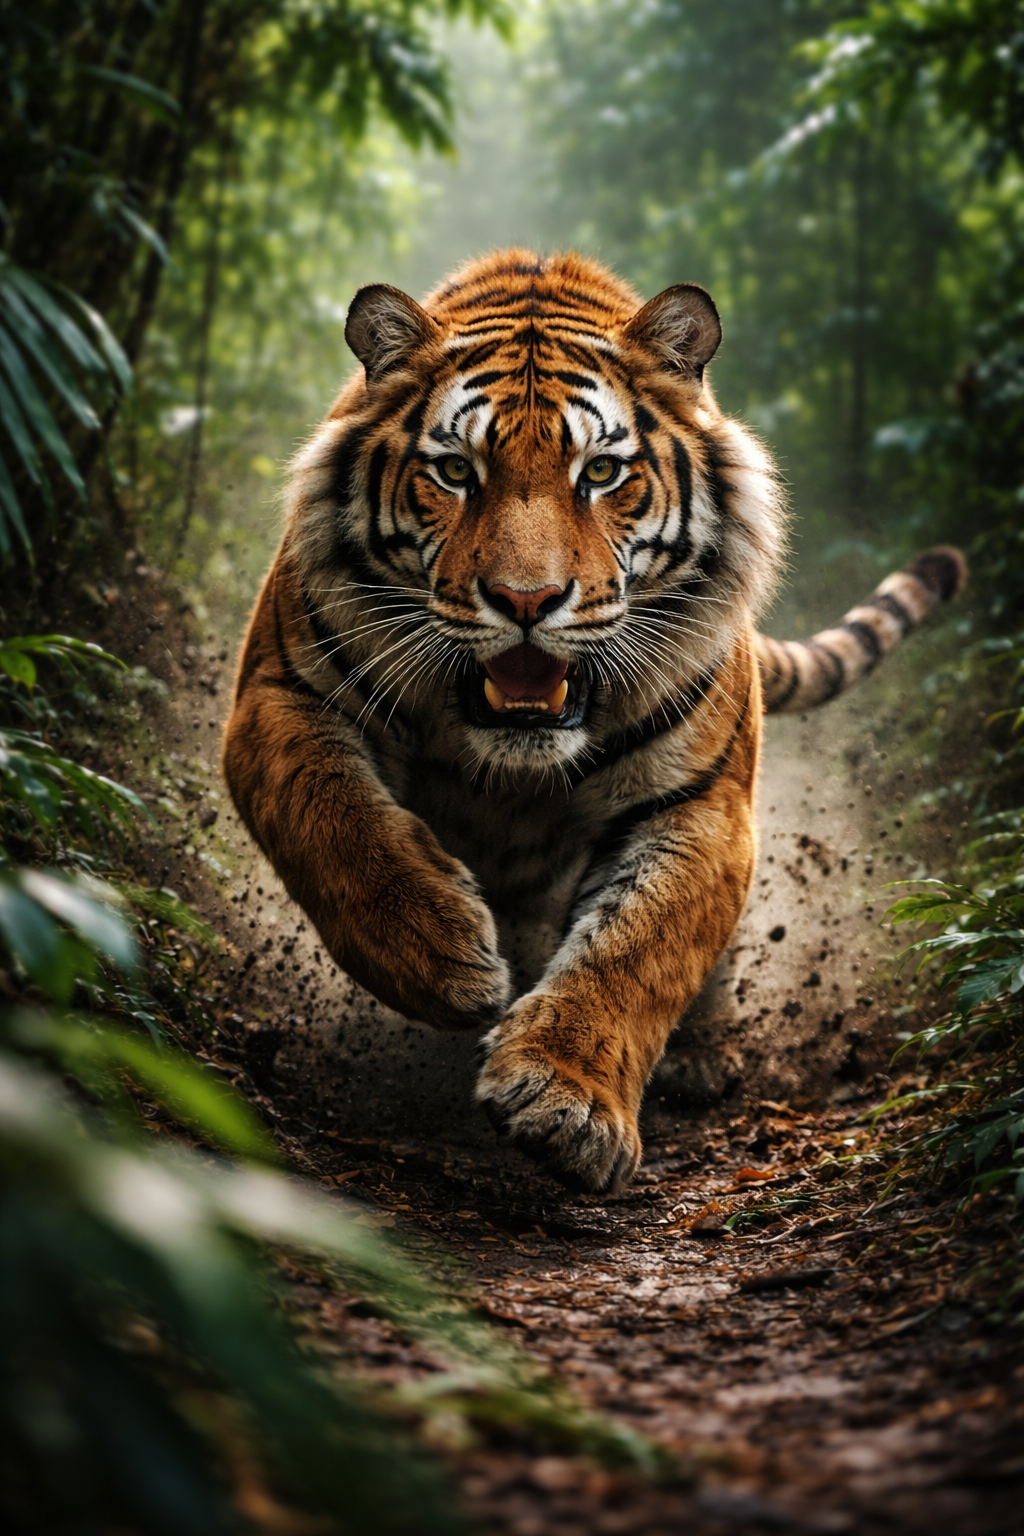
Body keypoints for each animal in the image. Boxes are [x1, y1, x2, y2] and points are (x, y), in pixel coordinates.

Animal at [223, 248, 966, 1194]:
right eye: (455, 473)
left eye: (602, 474)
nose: (526, 600)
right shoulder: (279, 696)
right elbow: (336, 824)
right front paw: (446, 961)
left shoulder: (697, 803)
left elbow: (638, 947)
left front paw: (566, 1101)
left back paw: (699, 1060)